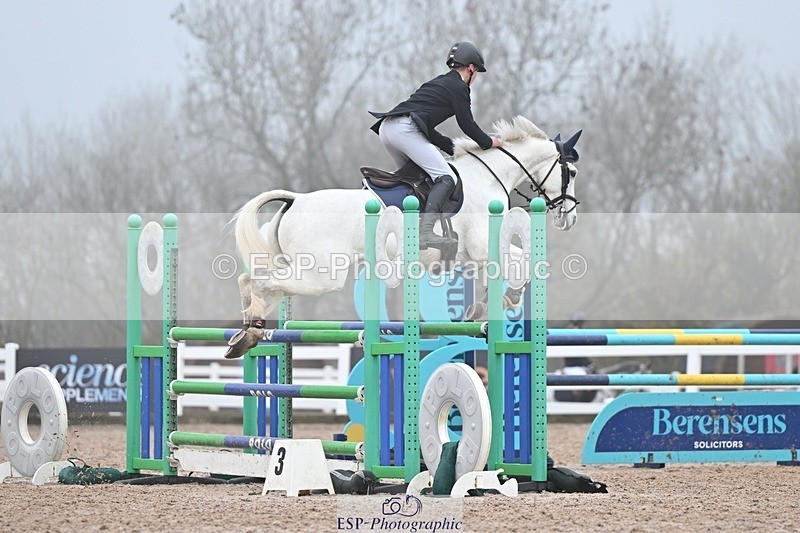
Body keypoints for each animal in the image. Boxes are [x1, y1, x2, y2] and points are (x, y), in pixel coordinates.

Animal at [224, 115, 581, 358]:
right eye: (573, 172)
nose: (570, 217)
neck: (488, 177)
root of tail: (295, 200)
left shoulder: (470, 257)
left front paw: (480, 308)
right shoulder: (482, 246)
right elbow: (524, 262)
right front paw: (510, 299)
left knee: (251, 280)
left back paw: (244, 335)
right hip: (321, 276)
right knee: (262, 282)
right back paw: (250, 333)